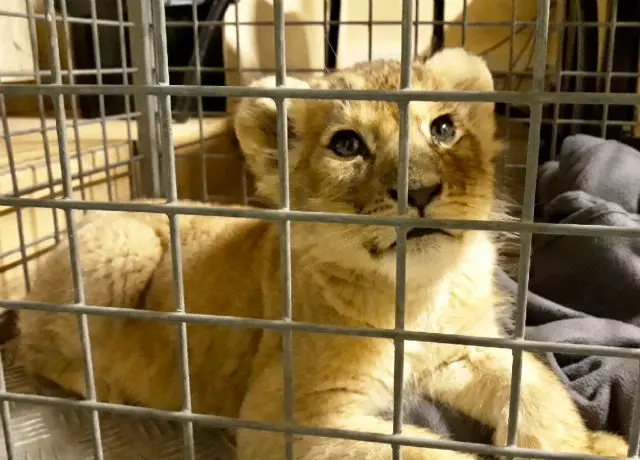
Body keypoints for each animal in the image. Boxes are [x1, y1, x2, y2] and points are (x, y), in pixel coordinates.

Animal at [11, 48, 628, 460]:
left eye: (444, 128)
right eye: (347, 145)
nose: (421, 191)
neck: (418, 293)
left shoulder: (465, 349)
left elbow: (539, 388)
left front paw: (592, 445)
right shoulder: (288, 419)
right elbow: (419, 451)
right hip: (126, 246)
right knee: (40, 348)